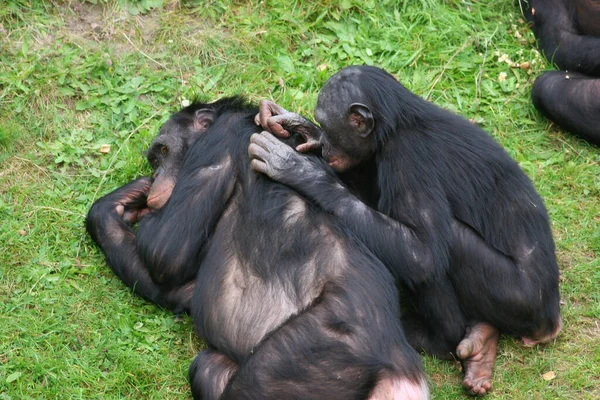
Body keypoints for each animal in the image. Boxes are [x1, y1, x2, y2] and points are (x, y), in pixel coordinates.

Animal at [86, 97, 428, 400]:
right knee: (208, 368)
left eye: (163, 152)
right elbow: (178, 288)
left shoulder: (219, 140)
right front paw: (117, 205)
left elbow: (165, 252)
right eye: (154, 160)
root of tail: (399, 363)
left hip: (321, 350)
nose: (156, 175)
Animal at [250, 64, 564, 396]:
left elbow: (421, 252)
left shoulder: (409, 158)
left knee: (443, 246)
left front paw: (299, 169)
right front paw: (300, 127)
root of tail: (551, 319)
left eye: (328, 124)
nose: (326, 144)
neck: (397, 125)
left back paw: (437, 336)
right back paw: (481, 344)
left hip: (517, 296)